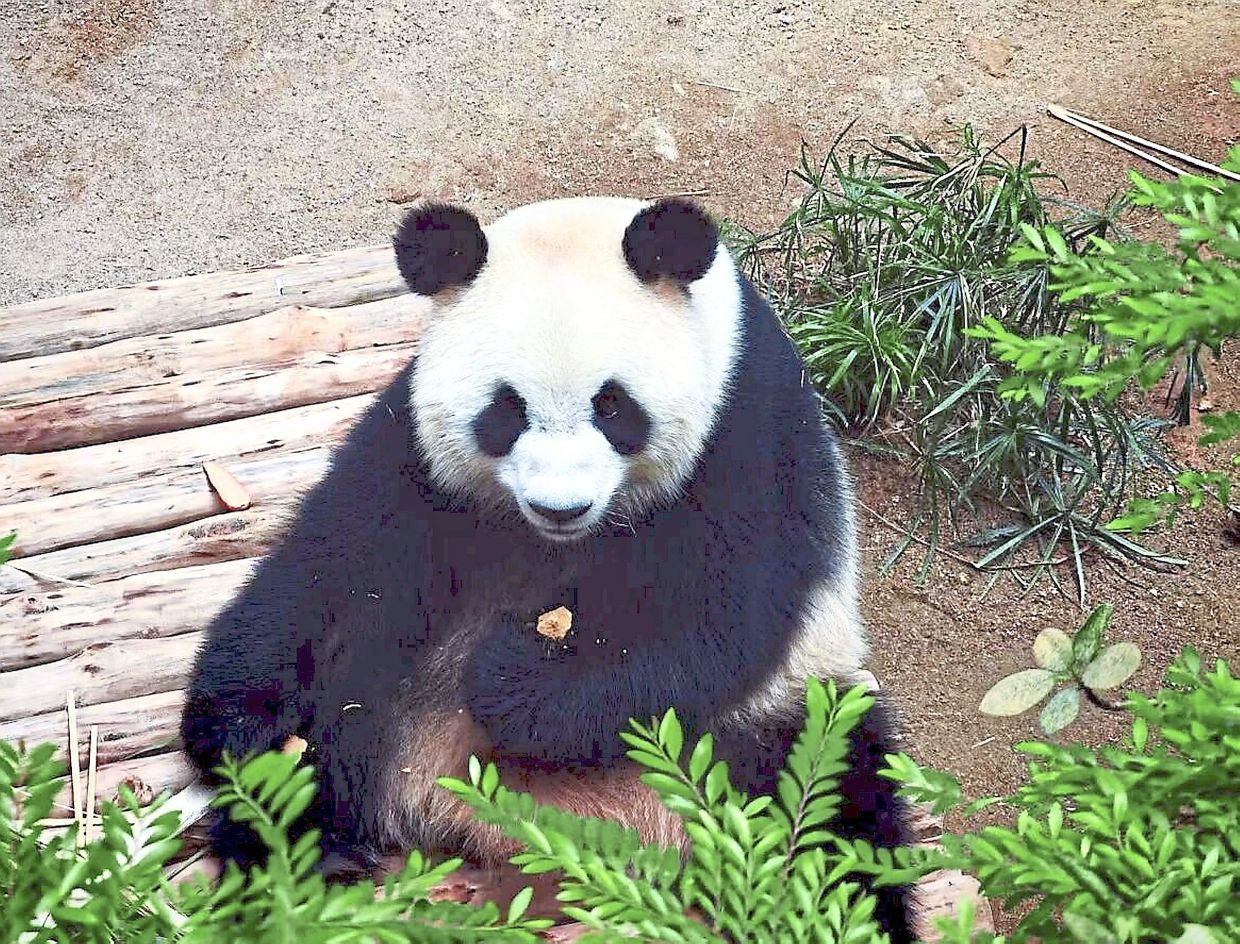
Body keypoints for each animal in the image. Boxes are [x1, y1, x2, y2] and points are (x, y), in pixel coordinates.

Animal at [181, 195, 914, 940]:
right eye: (505, 411)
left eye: (613, 406)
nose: (560, 507)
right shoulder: (413, 446)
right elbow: (335, 553)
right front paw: (236, 719)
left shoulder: (749, 429)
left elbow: (719, 619)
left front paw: (513, 682)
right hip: (391, 714)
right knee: (327, 736)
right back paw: (293, 863)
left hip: (772, 726)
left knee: (835, 816)